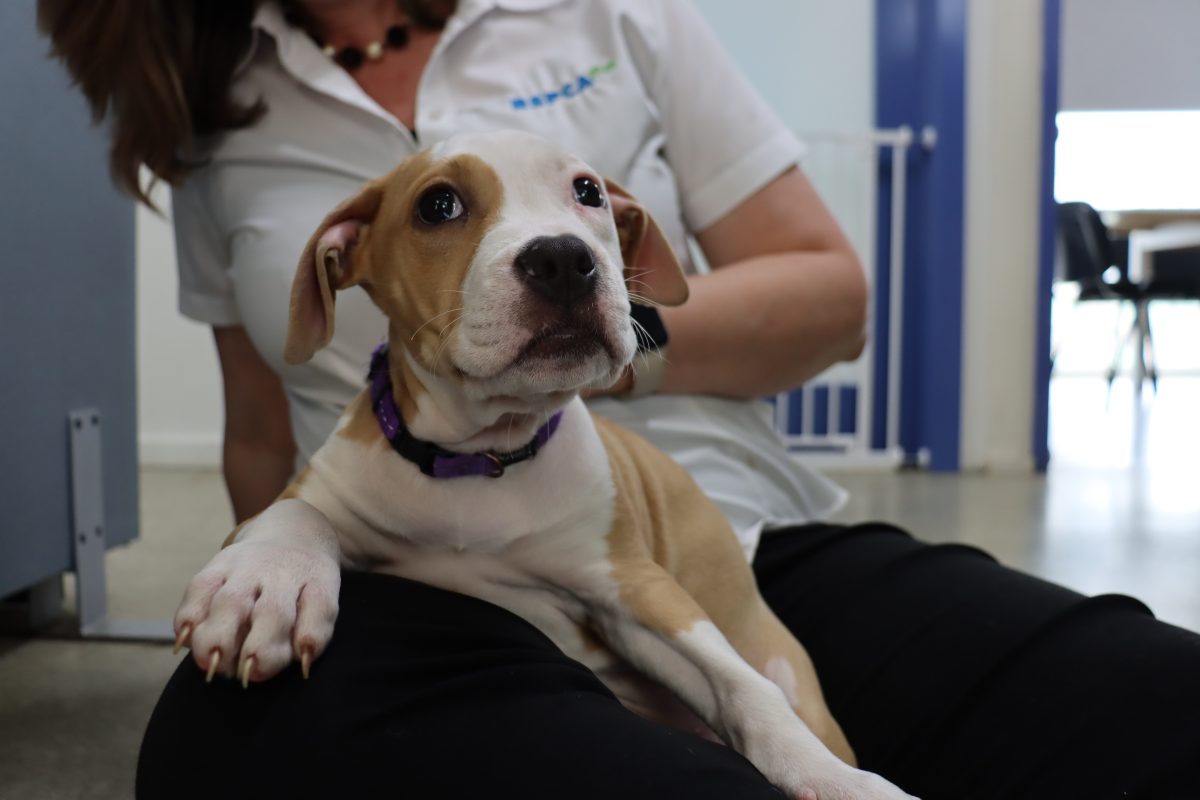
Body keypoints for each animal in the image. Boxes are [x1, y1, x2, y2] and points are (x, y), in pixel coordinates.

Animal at [174, 131, 912, 800]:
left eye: (588, 192)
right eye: (437, 205)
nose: (563, 257)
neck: (479, 457)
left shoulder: (635, 589)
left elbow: (742, 687)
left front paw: (837, 780)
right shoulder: (304, 495)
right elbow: (294, 513)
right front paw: (263, 585)